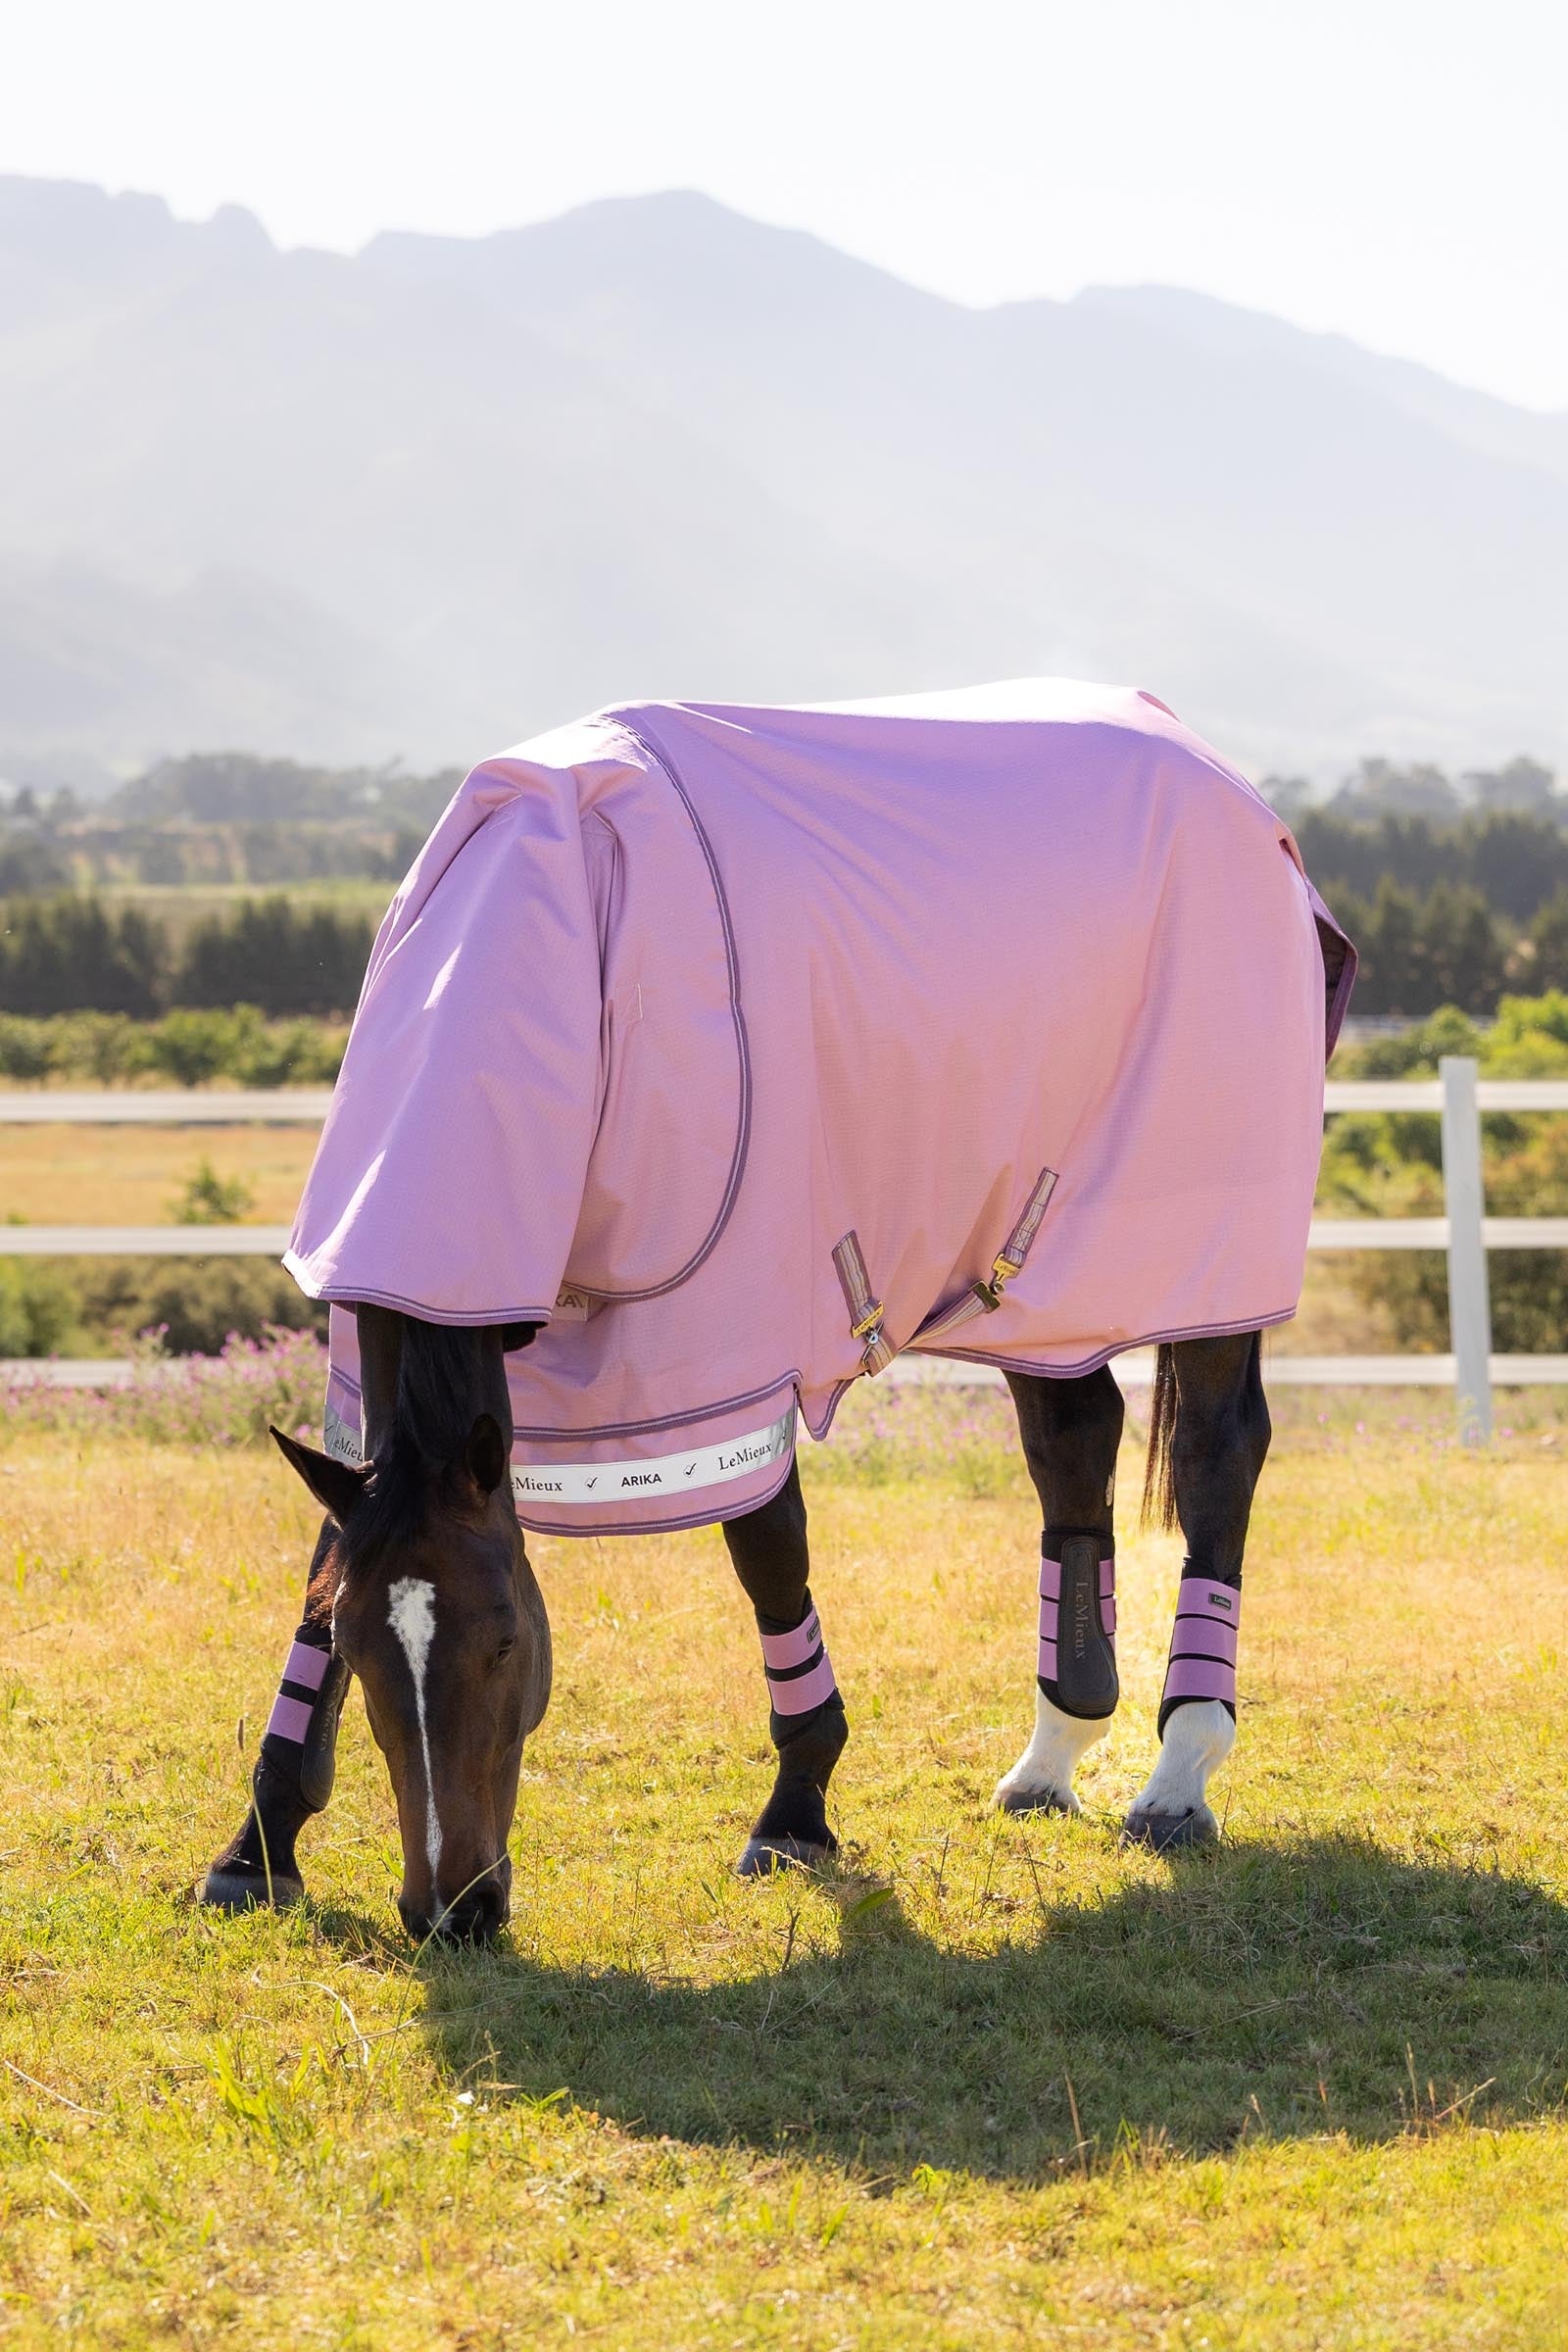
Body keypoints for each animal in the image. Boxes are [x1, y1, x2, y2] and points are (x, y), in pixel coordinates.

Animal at [200, 678, 1353, 1941]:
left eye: (506, 1642)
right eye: (362, 1650)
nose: (452, 1907)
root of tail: (1240, 798)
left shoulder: (715, 1353)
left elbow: (768, 1550)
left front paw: (796, 1808)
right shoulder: (388, 1383)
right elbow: (325, 1561)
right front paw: (258, 1844)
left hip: (1201, 1265)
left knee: (1213, 1457)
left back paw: (1179, 1772)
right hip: (1040, 1280)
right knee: (1071, 1439)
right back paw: (1053, 1754)